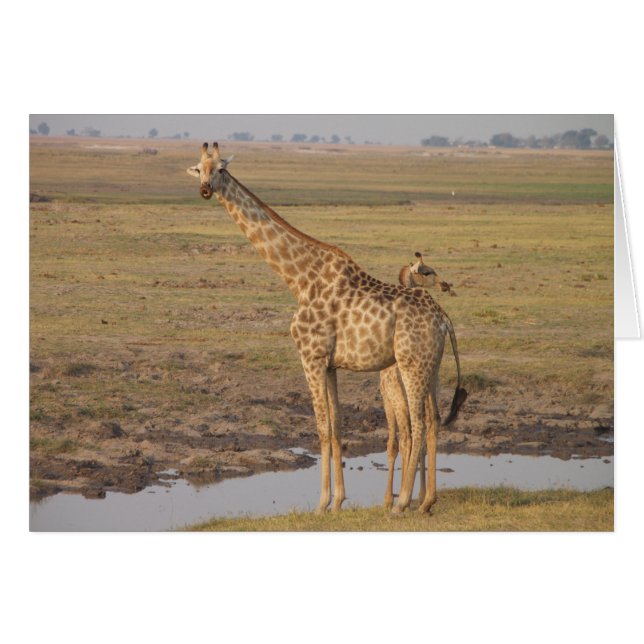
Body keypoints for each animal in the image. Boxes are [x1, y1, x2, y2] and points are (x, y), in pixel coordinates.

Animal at [381, 253, 462, 509]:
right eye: (427, 271)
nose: (446, 285)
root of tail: (444, 322)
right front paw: (417, 493)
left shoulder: (387, 394)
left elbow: (395, 443)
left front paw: (390, 499)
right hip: (429, 379)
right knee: (432, 420)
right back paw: (426, 500)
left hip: (405, 388)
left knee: (410, 433)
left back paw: (403, 500)